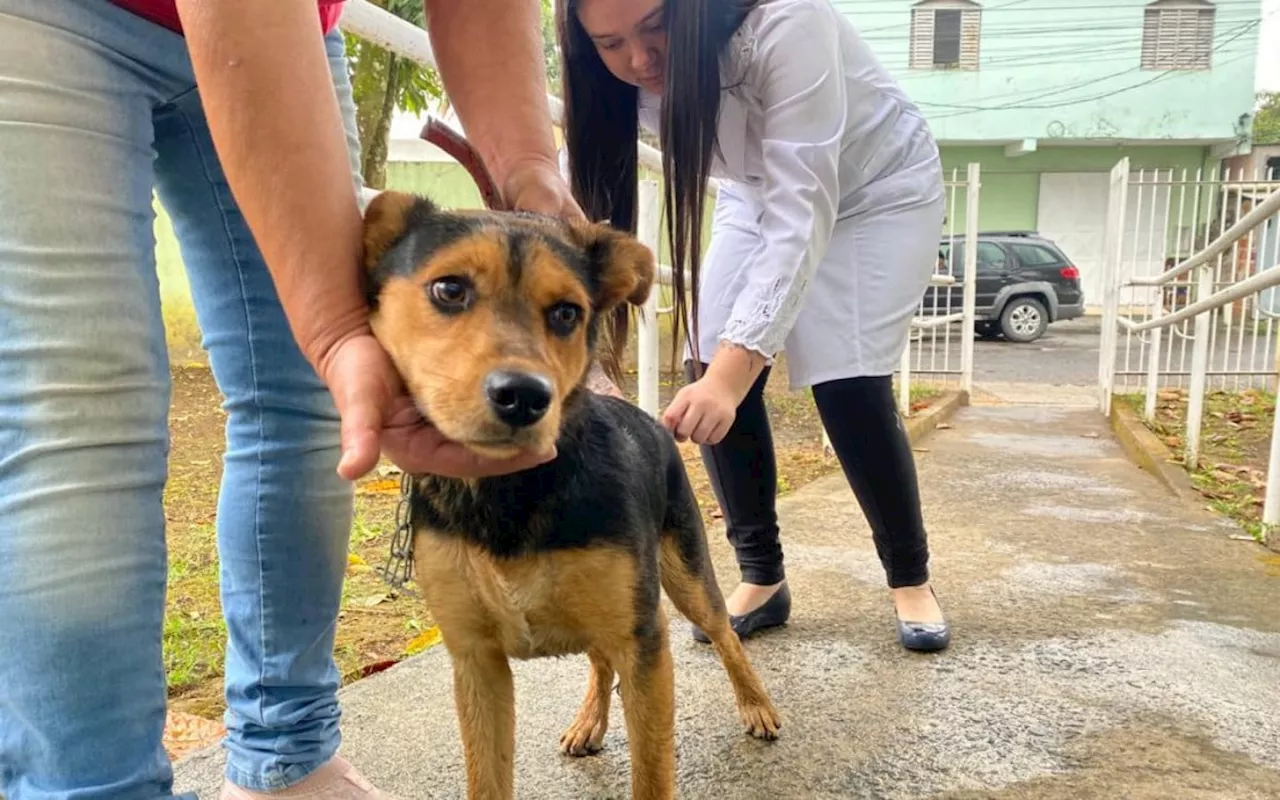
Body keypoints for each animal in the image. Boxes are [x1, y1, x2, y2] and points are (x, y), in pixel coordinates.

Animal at [360, 190, 778, 793]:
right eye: (449, 289)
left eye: (567, 313)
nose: (524, 396)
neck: (509, 491)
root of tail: (648, 418)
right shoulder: (476, 661)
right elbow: (488, 778)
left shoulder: (643, 640)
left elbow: (652, 775)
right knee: (600, 660)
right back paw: (589, 721)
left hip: (686, 575)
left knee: (725, 634)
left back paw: (756, 705)